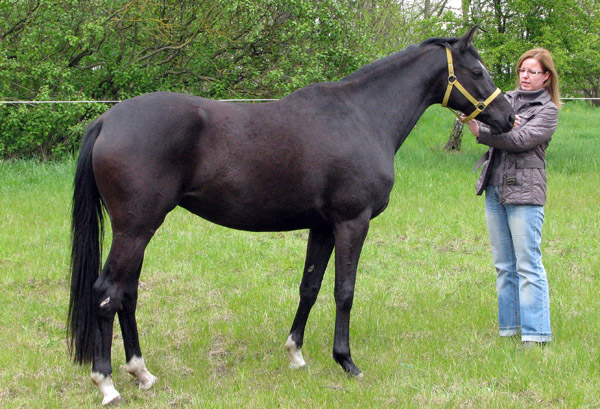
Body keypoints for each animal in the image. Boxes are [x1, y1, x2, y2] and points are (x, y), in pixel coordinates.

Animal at [69, 27, 510, 404]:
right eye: (477, 71)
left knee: (127, 294)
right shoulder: (352, 222)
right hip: (135, 229)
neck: (362, 116)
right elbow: (344, 291)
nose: (508, 117)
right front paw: (347, 362)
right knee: (106, 293)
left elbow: (309, 288)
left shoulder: (322, 226)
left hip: (140, 230)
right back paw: (107, 383)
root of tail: (107, 119)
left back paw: (142, 373)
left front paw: (296, 353)